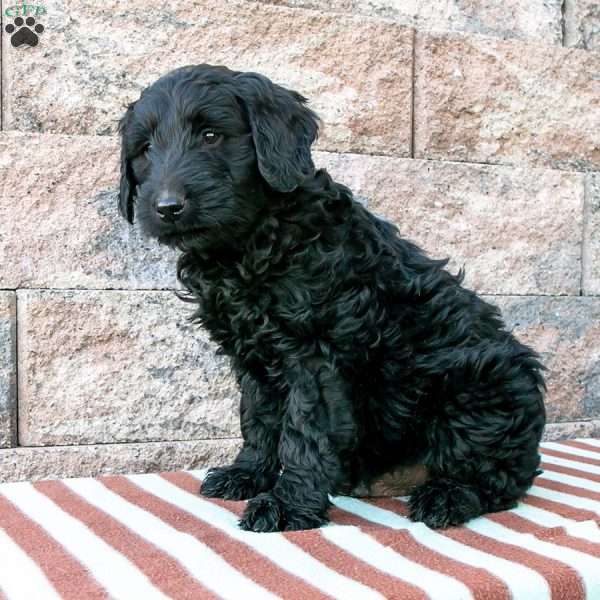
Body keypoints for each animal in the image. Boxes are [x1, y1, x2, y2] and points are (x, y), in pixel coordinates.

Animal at [119, 65, 548, 532]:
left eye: (211, 135)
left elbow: (303, 431)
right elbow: (258, 418)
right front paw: (247, 475)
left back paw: (447, 496)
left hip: (478, 384)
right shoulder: (253, 355)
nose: (167, 207)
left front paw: (287, 505)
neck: (252, 244)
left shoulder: (315, 353)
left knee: (500, 478)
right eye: (145, 149)